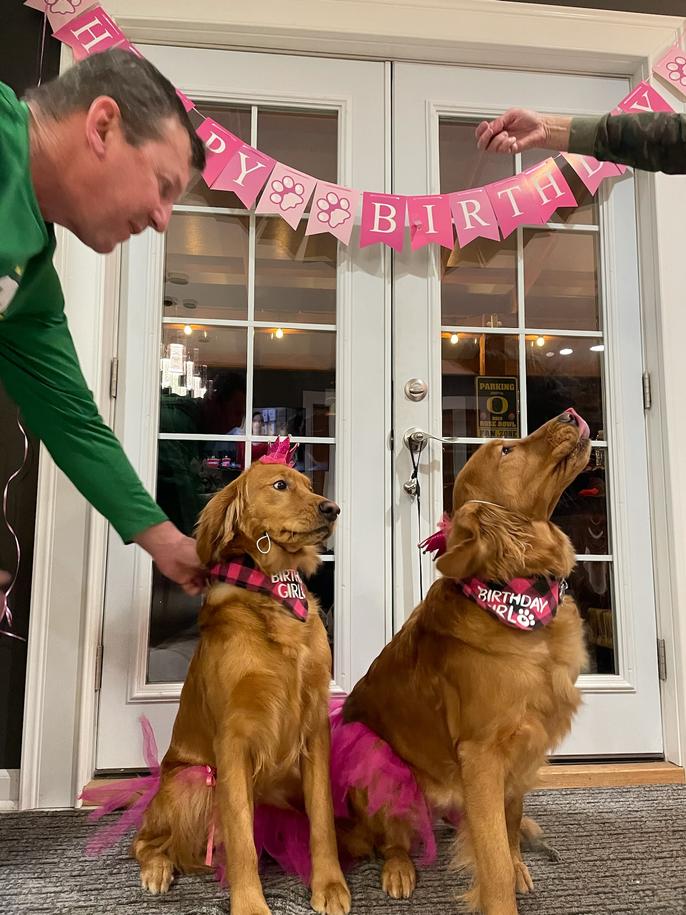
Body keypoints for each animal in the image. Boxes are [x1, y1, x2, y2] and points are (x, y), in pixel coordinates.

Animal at [132, 444, 351, 915]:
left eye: (307, 483)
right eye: (280, 485)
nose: (333, 508)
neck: (273, 591)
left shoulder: (314, 728)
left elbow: (322, 819)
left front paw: (330, 885)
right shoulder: (233, 740)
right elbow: (240, 837)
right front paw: (250, 904)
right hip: (192, 782)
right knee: (145, 840)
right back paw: (157, 868)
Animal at [340, 410, 591, 915]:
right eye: (508, 450)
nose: (573, 414)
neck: (519, 594)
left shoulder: (524, 746)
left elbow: (508, 826)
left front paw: (518, 863)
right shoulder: (482, 754)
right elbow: (492, 861)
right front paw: (501, 893)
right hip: (376, 757)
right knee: (393, 840)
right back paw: (399, 870)